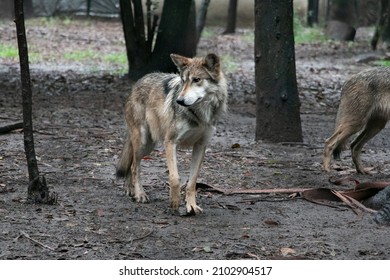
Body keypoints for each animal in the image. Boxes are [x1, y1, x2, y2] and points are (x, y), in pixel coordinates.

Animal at [116, 53, 227, 214]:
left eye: (196, 80)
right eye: (183, 80)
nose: (179, 101)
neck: (200, 114)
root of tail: (139, 81)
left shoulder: (200, 146)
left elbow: (192, 182)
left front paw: (191, 206)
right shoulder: (170, 142)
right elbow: (175, 178)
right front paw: (174, 203)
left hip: (148, 146)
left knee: (131, 165)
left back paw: (130, 190)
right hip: (143, 142)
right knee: (135, 167)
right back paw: (140, 194)